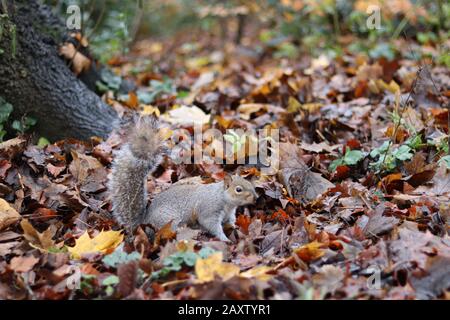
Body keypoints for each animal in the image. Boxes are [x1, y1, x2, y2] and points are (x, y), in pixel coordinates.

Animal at [108, 116, 256, 241]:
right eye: (238, 189)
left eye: (249, 182)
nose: (255, 198)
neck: (225, 200)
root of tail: (144, 223)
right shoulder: (209, 210)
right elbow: (211, 225)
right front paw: (224, 239)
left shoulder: (230, 214)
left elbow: (231, 222)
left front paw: (236, 228)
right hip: (168, 221)